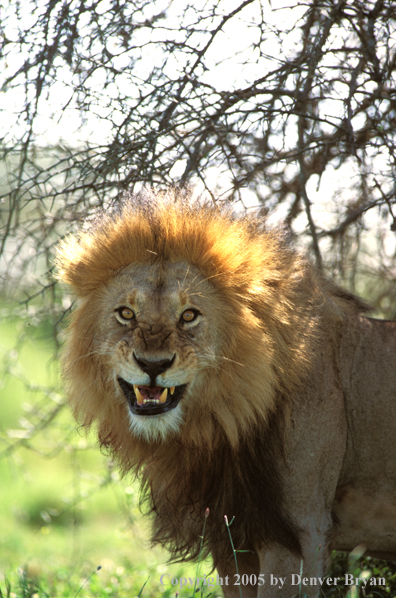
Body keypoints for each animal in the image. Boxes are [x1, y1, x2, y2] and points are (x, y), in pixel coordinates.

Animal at [55, 189, 396, 598]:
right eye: (126, 313)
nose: (153, 364)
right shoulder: (232, 537)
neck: (223, 423)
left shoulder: (299, 531)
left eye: (189, 315)